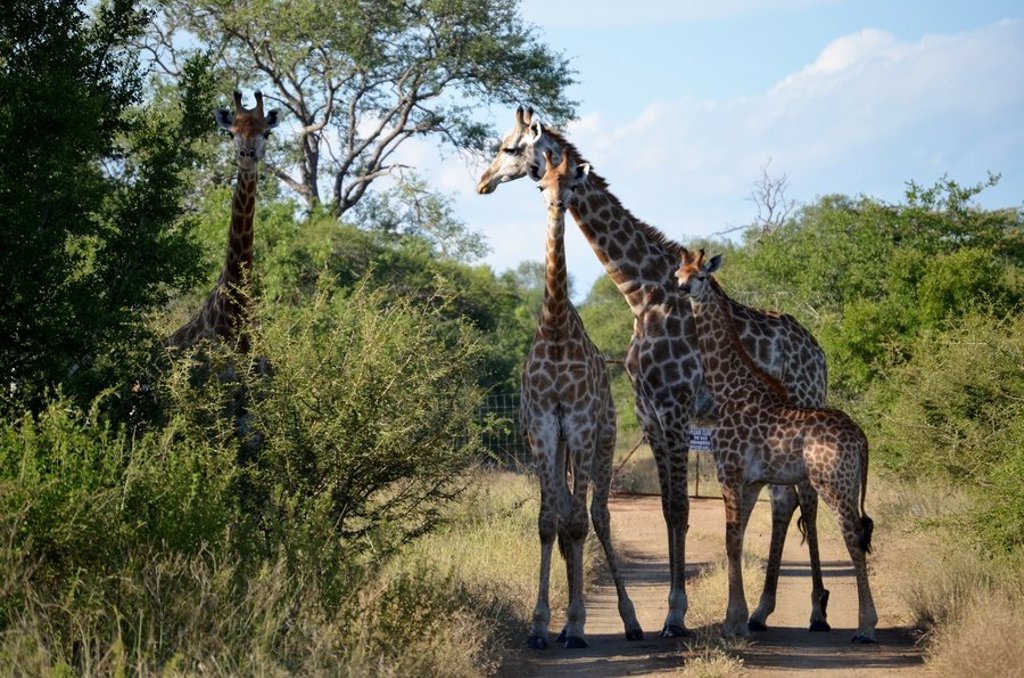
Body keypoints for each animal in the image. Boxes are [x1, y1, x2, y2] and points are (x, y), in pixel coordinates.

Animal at [478, 107, 830, 636]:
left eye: (508, 148)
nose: (482, 182)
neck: (642, 295)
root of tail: (820, 354)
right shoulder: (650, 412)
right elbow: (667, 509)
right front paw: (671, 610)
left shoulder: (677, 406)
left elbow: (681, 508)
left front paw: (674, 616)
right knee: (785, 502)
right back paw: (762, 610)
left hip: (804, 411)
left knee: (806, 498)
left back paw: (815, 610)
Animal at [675, 249, 877, 643]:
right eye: (679, 272)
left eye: (701, 276)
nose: (682, 289)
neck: (728, 387)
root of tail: (861, 438)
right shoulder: (751, 481)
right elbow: (735, 539)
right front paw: (738, 619)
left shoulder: (729, 472)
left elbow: (731, 538)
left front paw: (733, 621)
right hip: (843, 484)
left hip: (834, 483)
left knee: (854, 535)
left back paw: (865, 627)